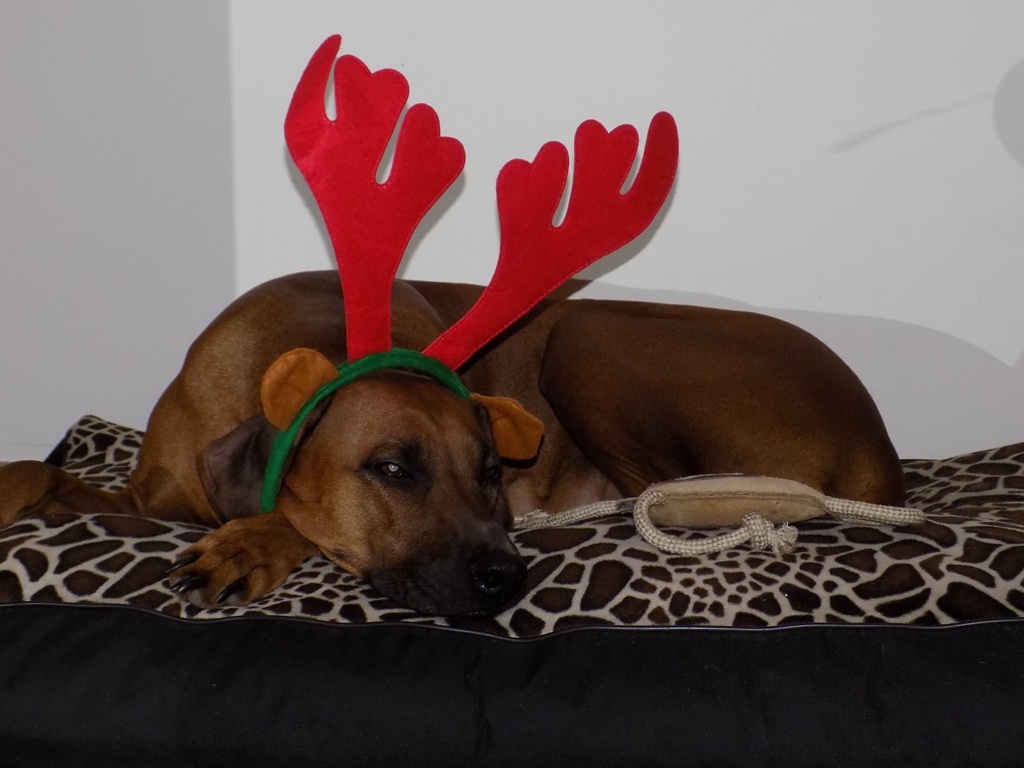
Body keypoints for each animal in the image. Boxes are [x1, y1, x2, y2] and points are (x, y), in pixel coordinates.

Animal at [0, 271, 904, 615]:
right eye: (394, 468)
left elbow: (291, 515)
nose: (505, 574)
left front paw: (252, 541)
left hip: (583, 333)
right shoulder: (147, 496)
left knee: (660, 493)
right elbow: (37, 473)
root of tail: (881, 446)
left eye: (493, 471)